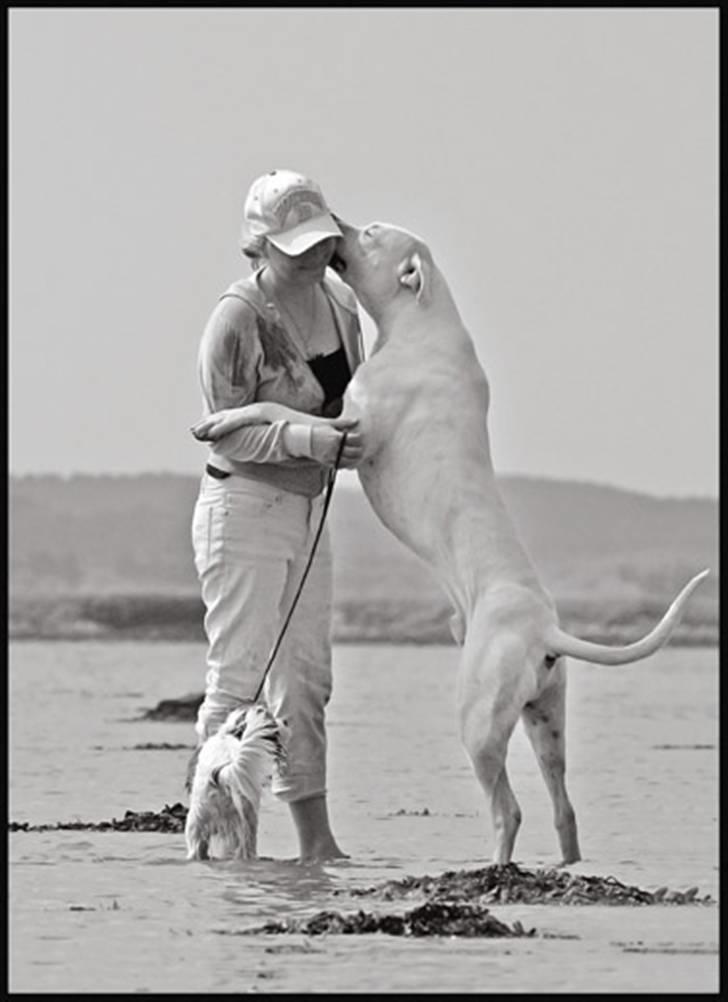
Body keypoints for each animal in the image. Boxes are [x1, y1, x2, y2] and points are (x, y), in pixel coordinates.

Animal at [183, 705, 288, 861]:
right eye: (273, 723)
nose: (286, 721)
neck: (230, 733)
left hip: (196, 819)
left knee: (196, 850)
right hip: (246, 820)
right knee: (246, 848)